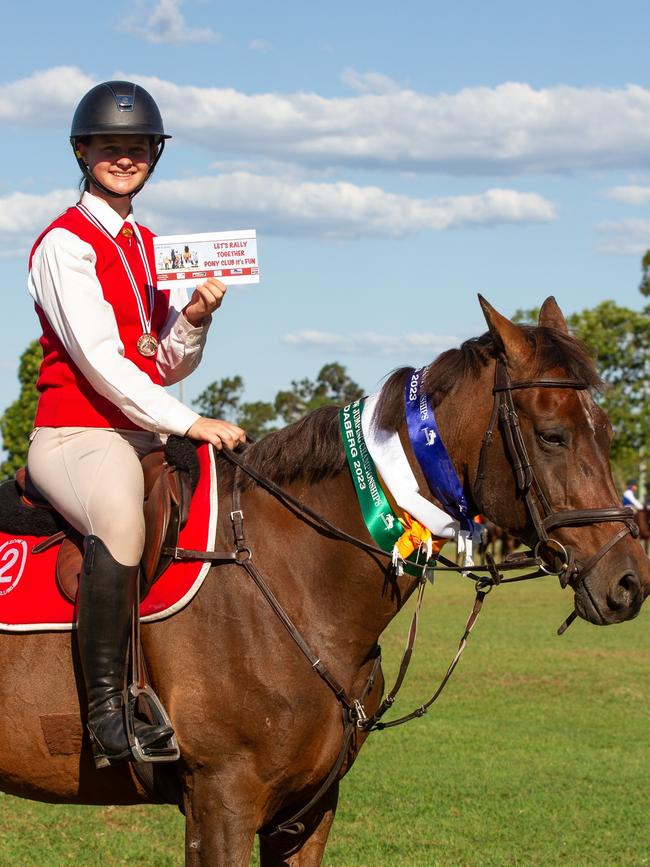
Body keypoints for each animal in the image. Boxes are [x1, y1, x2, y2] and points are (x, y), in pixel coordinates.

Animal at [1, 294, 648, 864]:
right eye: (552, 435)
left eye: (609, 432)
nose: (628, 583)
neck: (293, 577)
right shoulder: (221, 800)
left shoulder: (307, 810)